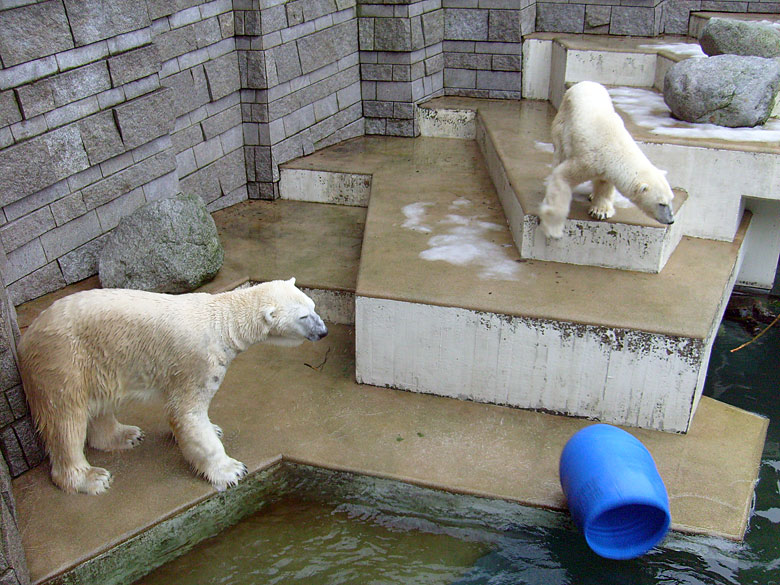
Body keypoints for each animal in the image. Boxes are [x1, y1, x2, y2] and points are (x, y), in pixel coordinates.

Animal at [17, 278, 330, 492]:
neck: (222, 321)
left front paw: (214, 427)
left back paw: (125, 435)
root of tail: (26, 338)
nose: (324, 331)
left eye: (314, 306)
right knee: (66, 419)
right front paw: (232, 469)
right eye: (303, 316)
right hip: (63, 361)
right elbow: (186, 413)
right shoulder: (198, 361)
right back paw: (91, 477)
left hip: (97, 363)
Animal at [540, 81, 672, 238]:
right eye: (661, 203)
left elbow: (605, 183)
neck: (616, 147)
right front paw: (553, 229)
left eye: (671, 199)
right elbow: (562, 177)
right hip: (563, 122)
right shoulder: (588, 160)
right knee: (560, 152)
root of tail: (584, 82)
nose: (671, 220)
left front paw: (600, 211)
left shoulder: (606, 167)